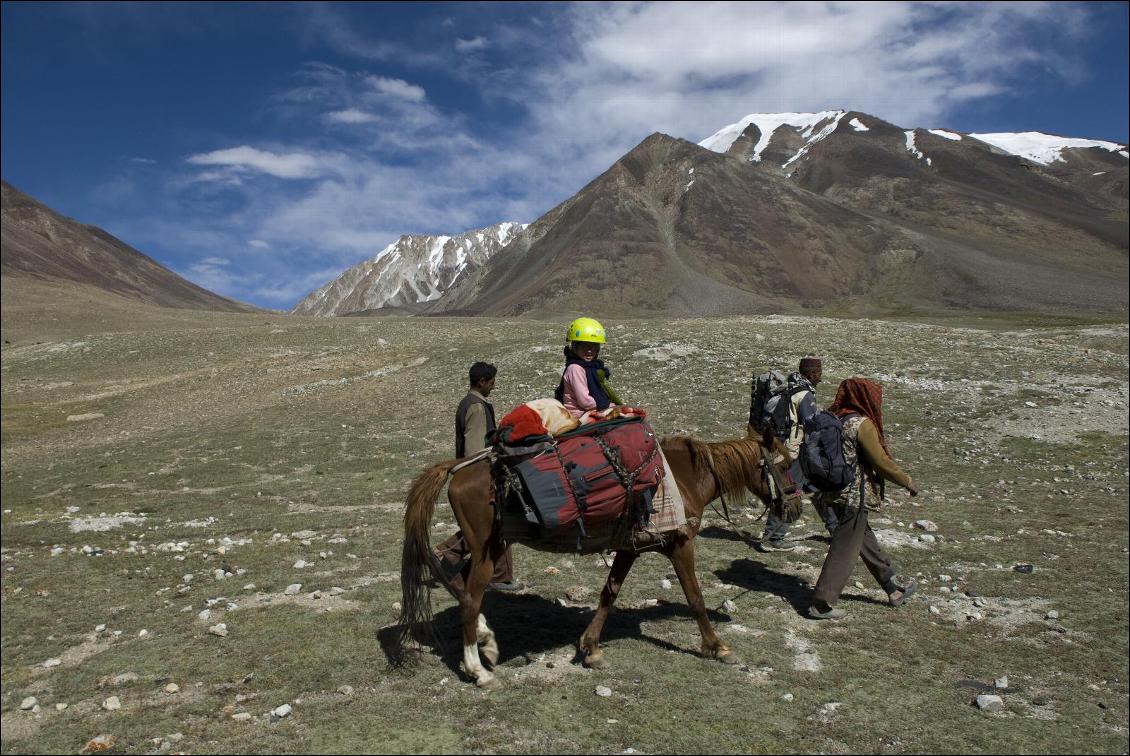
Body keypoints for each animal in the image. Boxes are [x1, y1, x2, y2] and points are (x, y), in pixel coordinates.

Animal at [395, 433, 777, 687]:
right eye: (785, 464)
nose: (789, 505)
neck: (682, 478)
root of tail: (457, 468)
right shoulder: (680, 545)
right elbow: (695, 597)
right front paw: (717, 647)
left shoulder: (629, 548)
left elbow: (609, 594)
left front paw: (590, 650)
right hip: (488, 549)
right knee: (470, 599)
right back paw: (479, 670)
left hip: (486, 546)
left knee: (457, 583)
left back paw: (487, 641)